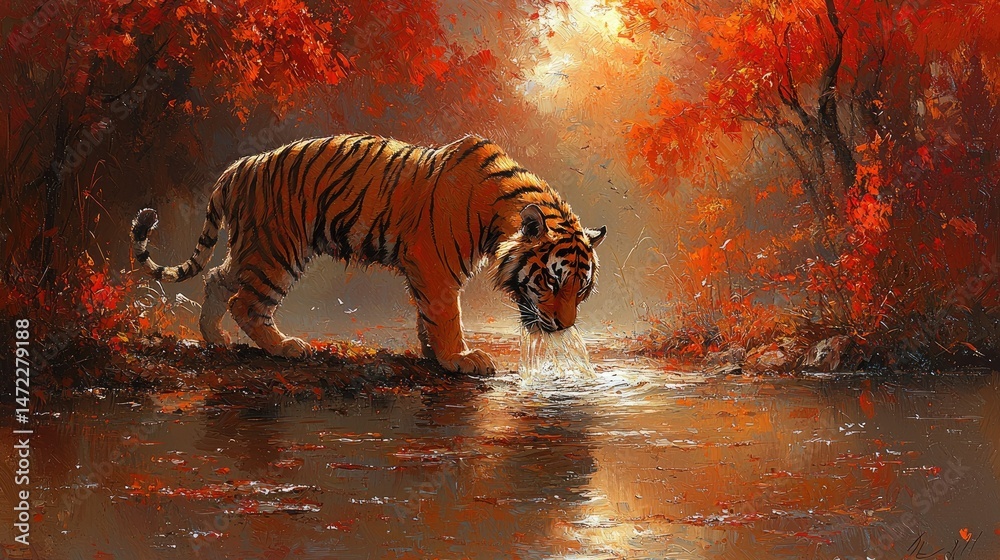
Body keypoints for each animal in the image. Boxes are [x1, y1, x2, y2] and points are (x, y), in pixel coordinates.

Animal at [130, 134, 606, 374]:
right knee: (245, 302)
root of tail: (238, 167)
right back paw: (285, 348)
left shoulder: (427, 269)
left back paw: (214, 338)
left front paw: (434, 354)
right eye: (552, 280)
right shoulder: (434, 263)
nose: (565, 327)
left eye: (582, 290)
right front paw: (459, 359)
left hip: (252, 246)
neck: (500, 212)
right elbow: (446, 314)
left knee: (215, 279)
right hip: (278, 250)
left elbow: (428, 316)